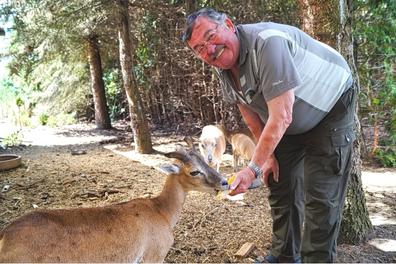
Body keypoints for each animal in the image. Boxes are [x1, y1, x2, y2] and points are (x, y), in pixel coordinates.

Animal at [0, 147, 229, 262]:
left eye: (208, 162)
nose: (224, 182)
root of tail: (5, 236)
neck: (160, 211)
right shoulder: (153, 256)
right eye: (194, 171)